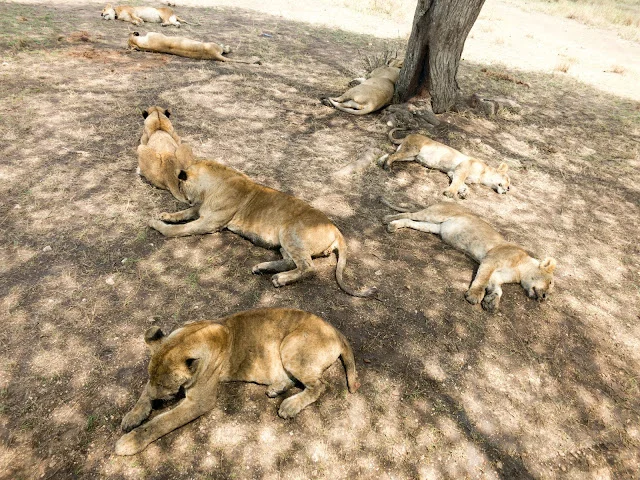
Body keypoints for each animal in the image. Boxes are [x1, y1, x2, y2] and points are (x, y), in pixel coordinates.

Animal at [115, 306, 360, 456]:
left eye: (166, 385)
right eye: (151, 377)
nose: (157, 400)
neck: (190, 338)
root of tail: (336, 331)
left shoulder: (199, 402)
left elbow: (160, 422)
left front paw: (129, 442)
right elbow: (143, 394)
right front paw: (133, 415)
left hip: (291, 345)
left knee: (320, 385)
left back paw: (290, 405)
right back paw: (276, 388)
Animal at [380, 129, 510, 199]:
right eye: (507, 179)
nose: (508, 189)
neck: (483, 175)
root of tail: (409, 135)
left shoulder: (453, 172)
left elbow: (462, 184)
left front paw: (464, 192)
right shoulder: (462, 168)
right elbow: (457, 183)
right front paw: (450, 193)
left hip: (410, 156)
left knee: (392, 153)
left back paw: (381, 161)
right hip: (411, 150)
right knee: (393, 155)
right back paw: (387, 166)